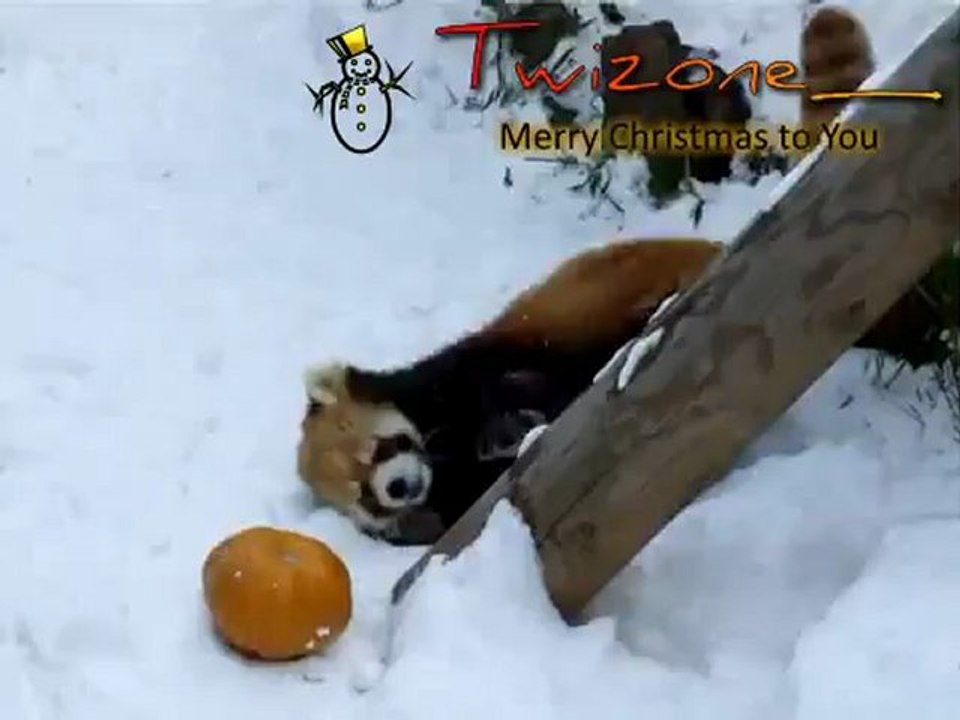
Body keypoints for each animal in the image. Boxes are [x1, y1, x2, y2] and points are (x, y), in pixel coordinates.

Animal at [296, 237, 725, 544]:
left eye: (380, 448)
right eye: (365, 497)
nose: (400, 487)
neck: (448, 453)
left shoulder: (469, 369)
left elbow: (512, 385)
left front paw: (509, 426)